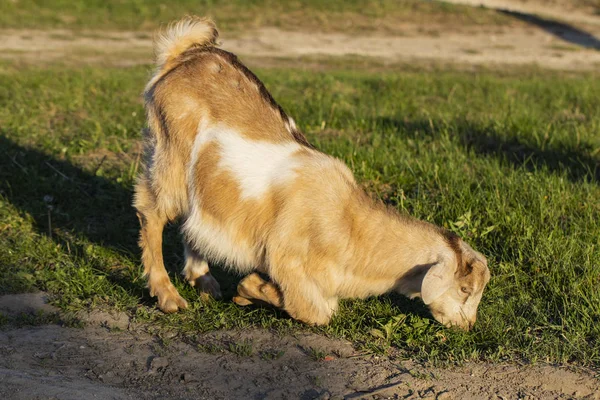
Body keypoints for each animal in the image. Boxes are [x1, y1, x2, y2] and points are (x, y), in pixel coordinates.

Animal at [134, 15, 490, 330]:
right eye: (464, 289)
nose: (468, 325)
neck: (350, 226)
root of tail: (183, 54)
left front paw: (249, 293)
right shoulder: (287, 260)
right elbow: (317, 312)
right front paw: (251, 288)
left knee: (191, 219)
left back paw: (205, 280)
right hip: (172, 154)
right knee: (151, 210)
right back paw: (168, 296)